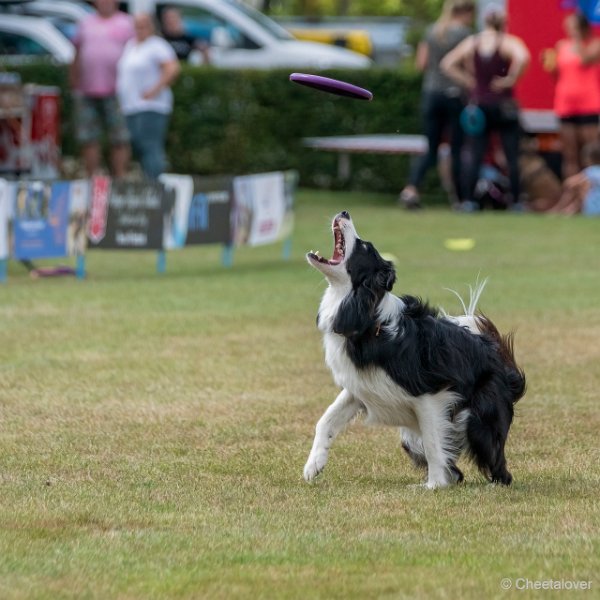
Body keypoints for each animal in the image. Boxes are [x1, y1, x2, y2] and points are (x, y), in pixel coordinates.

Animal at [304, 211, 524, 488]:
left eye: (365, 247)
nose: (344, 212)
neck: (366, 316)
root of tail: (497, 355)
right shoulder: (359, 387)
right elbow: (326, 420)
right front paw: (313, 466)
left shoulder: (432, 395)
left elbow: (433, 445)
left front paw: (434, 487)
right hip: (411, 437)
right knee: (455, 468)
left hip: (479, 422)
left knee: (498, 466)